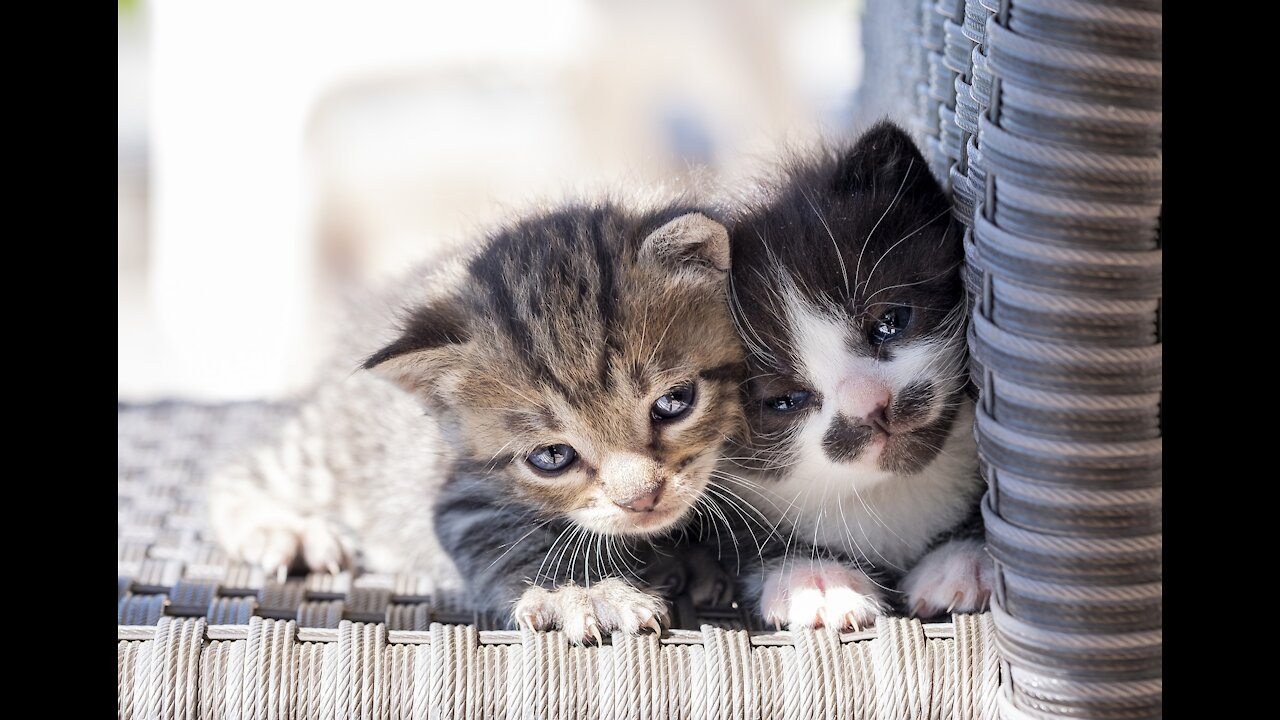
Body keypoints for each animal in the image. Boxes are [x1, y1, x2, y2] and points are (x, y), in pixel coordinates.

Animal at [211, 203, 747, 638]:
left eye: (674, 402)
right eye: (552, 456)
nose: (641, 500)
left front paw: (694, 555)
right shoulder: (458, 497)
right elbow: (507, 539)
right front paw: (581, 593)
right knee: (239, 471)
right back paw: (282, 529)